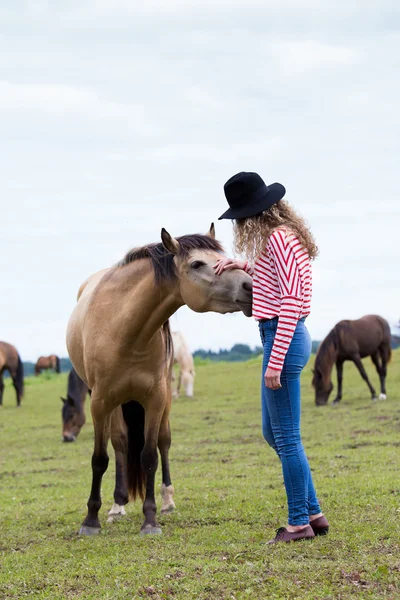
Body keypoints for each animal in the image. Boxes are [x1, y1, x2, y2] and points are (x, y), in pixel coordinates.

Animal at [67, 224, 252, 536]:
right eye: (197, 264)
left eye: (223, 257)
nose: (249, 285)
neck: (123, 328)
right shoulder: (99, 401)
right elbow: (100, 458)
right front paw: (91, 520)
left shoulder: (154, 399)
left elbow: (149, 456)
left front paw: (150, 519)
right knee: (120, 443)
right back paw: (117, 505)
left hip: (161, 399)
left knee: (163, 443)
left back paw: (167, 499)